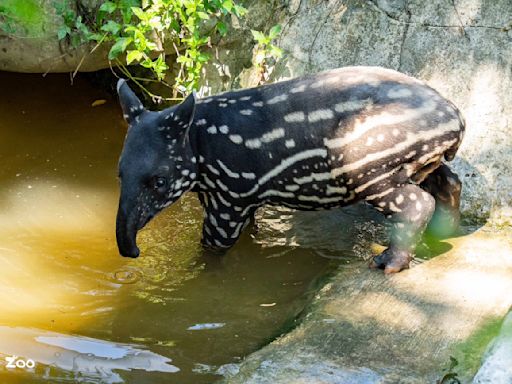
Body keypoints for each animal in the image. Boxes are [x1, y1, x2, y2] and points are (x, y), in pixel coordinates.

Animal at [115, 67, 464, 274]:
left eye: (159, 181)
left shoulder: (231, 198)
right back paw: (443, 232)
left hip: (368, 161)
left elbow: (214, 245)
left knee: (417, 203)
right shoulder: (230, 197)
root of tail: (456, 118)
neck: (200, 140)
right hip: (417, 160)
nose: (130, 250)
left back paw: (388, 261)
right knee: (449, 181)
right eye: (119, 173)